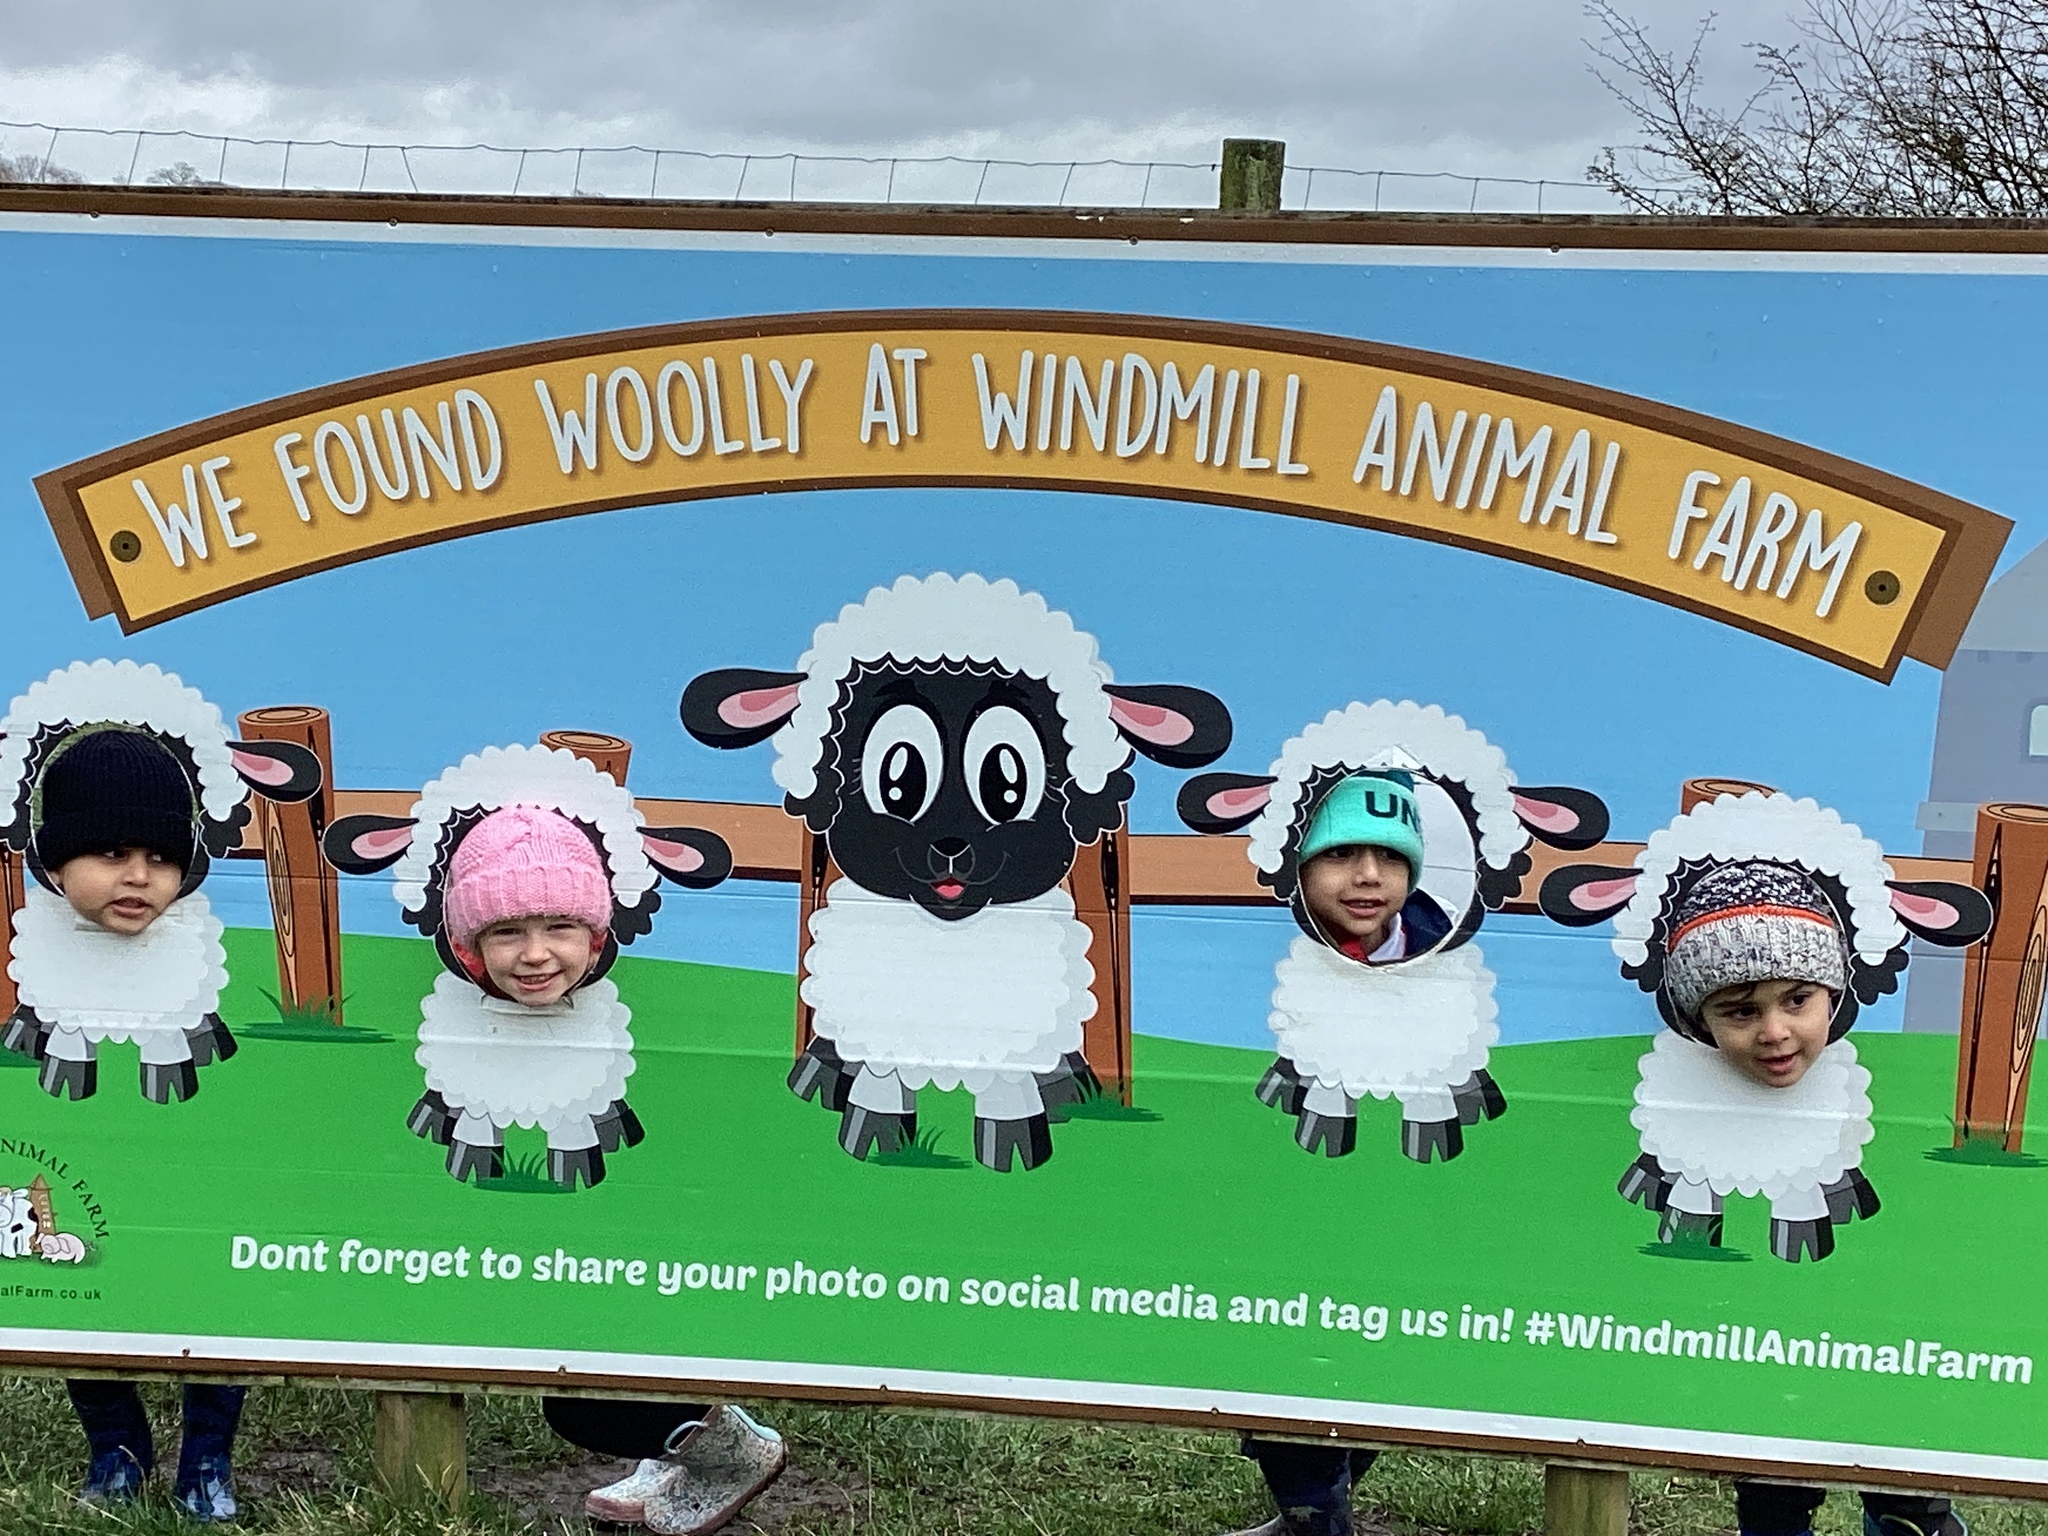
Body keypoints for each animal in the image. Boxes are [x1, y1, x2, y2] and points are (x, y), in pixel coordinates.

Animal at [1, 660, 322, 1103]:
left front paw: (170, 1085)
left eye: (159, 858)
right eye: (113, 853)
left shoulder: (171, 1003)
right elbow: (68, 1041)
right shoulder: (69, 1002)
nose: (138, 882)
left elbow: (168, 1043)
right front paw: (64, 1082)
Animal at [322, 744, 733, 1189]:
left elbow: (575, 1131)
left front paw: (575, 1173)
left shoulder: (578, 1086)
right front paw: (474, 1167)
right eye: (507, 931)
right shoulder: (475, 1084)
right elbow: (475, 1128)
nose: (535, 959)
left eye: (558, 925)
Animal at [682, 572, 1233, 1172]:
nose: (950, 847)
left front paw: (1014, 1143)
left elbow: (1013, 1081)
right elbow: (878, 1075)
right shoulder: (880, 1007)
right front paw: (874, 1134)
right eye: (898, 780)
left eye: (1008, 782)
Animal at [1178, 701, 1610, 1163]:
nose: (1369, 880)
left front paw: (1434, 1142)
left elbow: (1432, 1099)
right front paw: (1322, 1134)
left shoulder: (1431, 1053)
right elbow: (1328, 1094)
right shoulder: (1331, 1049)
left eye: (1388, 855)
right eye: (1341, 852)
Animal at [1540, 791, 1992, 1261]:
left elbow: (1802, 1205)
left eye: (1796, 1000)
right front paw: (1687, 1241)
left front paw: (1804, 1249)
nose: (1775, 1039)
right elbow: (1691, 1201)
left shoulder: (1808, 1161)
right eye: (1742, 1011)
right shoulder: (1694, 1154)